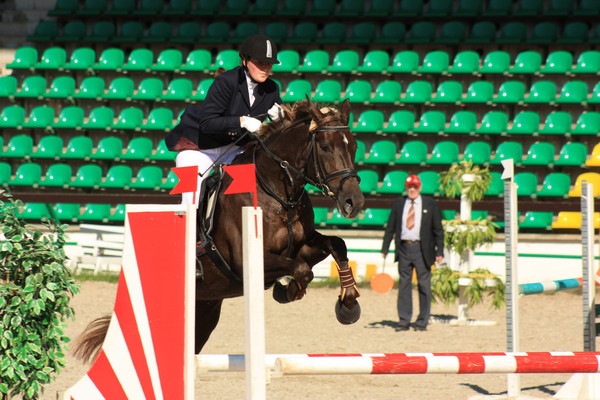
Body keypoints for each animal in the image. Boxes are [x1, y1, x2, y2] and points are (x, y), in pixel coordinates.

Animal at [74, 98, 365, 361]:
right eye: (325, 147)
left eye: (354, 145)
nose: (355, 202)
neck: (279, 193)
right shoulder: (245, 261)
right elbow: (302, 269)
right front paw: (288, 291)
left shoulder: (303, 245)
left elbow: (335, 246)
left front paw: (348, 304)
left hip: (204, 310)